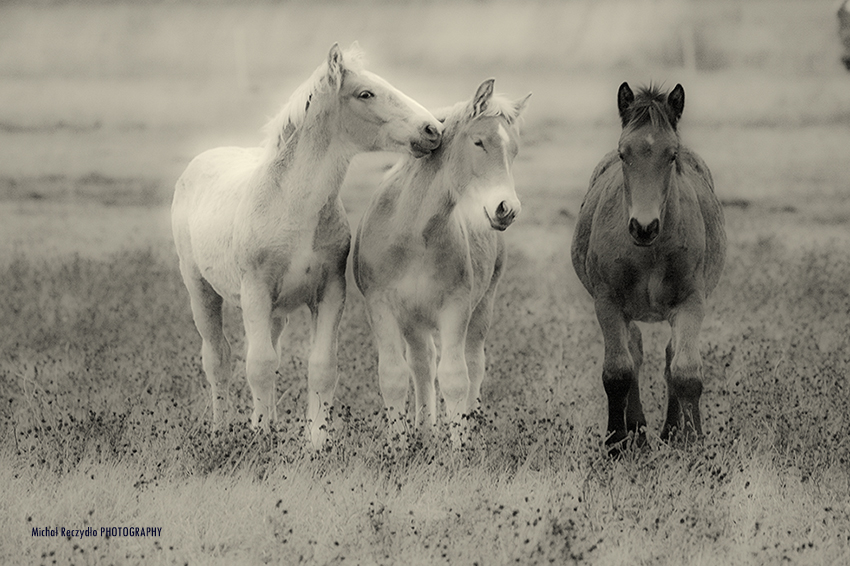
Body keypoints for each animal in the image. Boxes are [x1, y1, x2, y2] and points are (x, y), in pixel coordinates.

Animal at [170, 43, 440, 448]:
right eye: (365, 94)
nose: (433, 129)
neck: (291, 208)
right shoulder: (255, 291)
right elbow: (258, 366)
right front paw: (260, 437)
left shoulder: (330, 292)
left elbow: (319, 367)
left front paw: (315, 440)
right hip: (201, 290)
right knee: (218, 357)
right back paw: (222, 429)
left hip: (276, 312)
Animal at [350, 80, 524, 444]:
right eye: (478, 141)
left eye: (513, 150)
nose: (507, 209)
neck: (413, 233)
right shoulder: (382, 308)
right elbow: (394, 376)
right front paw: (398, 445)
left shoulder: (455, 308)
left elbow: (456, 377)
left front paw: (460, 447)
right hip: (413, 321)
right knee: (423, 363)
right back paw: (425, 430)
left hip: (482, 307)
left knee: (473, 364)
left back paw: (470, 423)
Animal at [568, 82, 724, 454]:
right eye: (623, 153)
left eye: (672, 155)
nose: (644, 226)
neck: (650, 251)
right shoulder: (608, 303)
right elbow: (618, 372)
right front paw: (615, 443)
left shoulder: (691, 301)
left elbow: (685, 372)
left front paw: (694, 443)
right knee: (634, 355)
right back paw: (638, 433)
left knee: (667, 358)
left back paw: (669, 431)